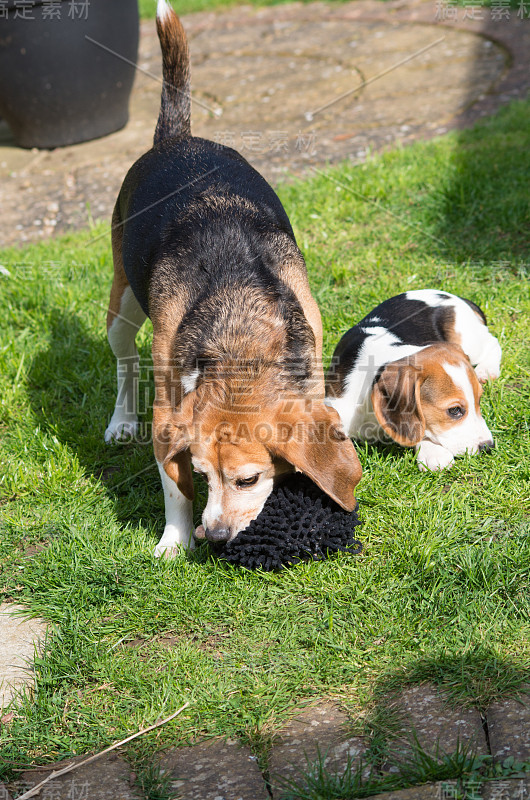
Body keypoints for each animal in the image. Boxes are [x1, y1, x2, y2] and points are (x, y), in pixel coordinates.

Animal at [104, 0, 358, 556]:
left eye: (247, 480)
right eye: (203, 474)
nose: (217, 535)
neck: (240, 337)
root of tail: (177, 139)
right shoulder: (169, 414)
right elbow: (173, 488)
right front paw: (175, 541)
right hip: (122, 303)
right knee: (125, 361)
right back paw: (120, 422)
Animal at [324, 290, 502, 472]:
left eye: (479, 401)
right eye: (454, 410)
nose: (488, 446)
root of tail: (455, 297)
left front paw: (434, 453)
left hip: (467, 340)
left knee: (493, 342)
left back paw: (487, 369)